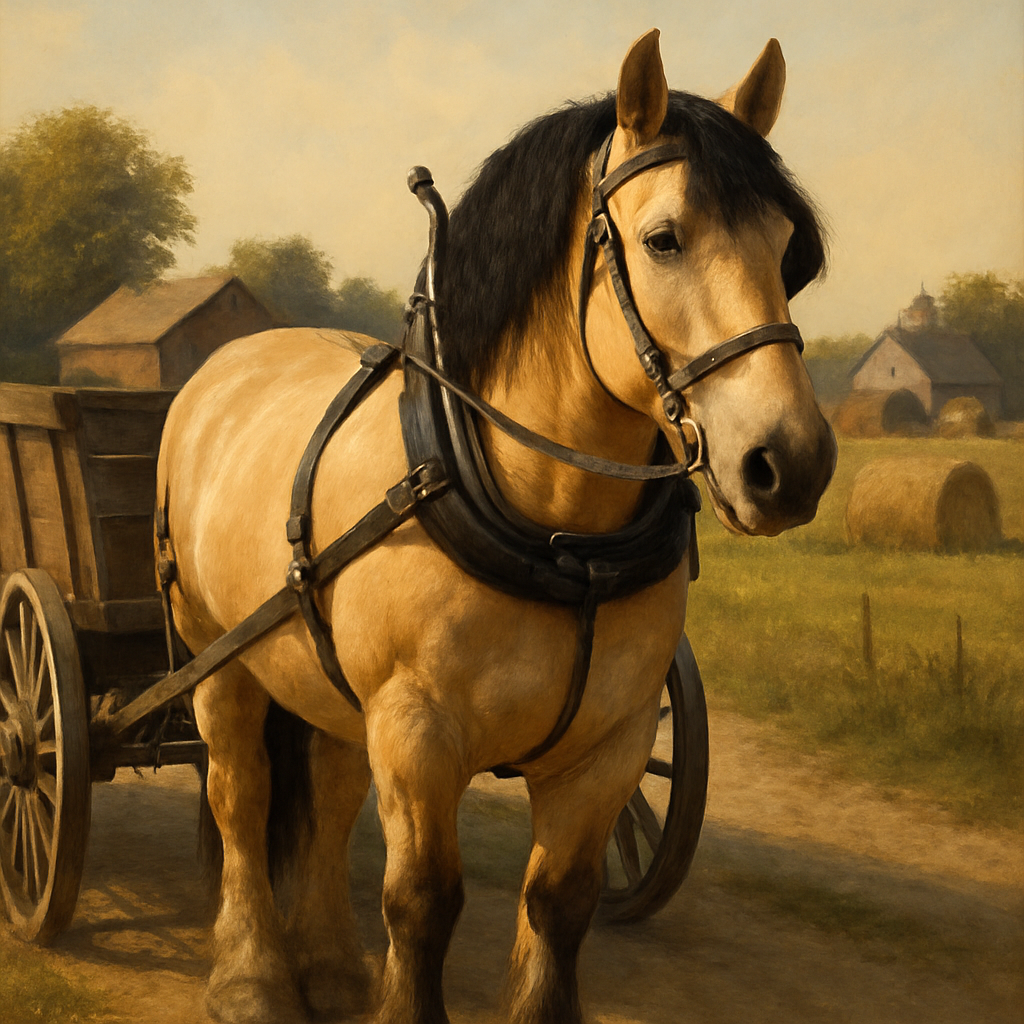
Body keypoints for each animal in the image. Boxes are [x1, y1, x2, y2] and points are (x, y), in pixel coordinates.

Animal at [157, 29, 836, 1024]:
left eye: (788, 251)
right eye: (663, 239)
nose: (791, 462)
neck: (556, 533)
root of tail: (226, 362)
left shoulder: (611, 746)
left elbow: (558, 905)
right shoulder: (418, 730)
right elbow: (422, 901)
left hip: (325, 676)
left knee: (328, 791)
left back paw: (331, 965)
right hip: (217, 654)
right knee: (240, 795)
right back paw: (253, 977)